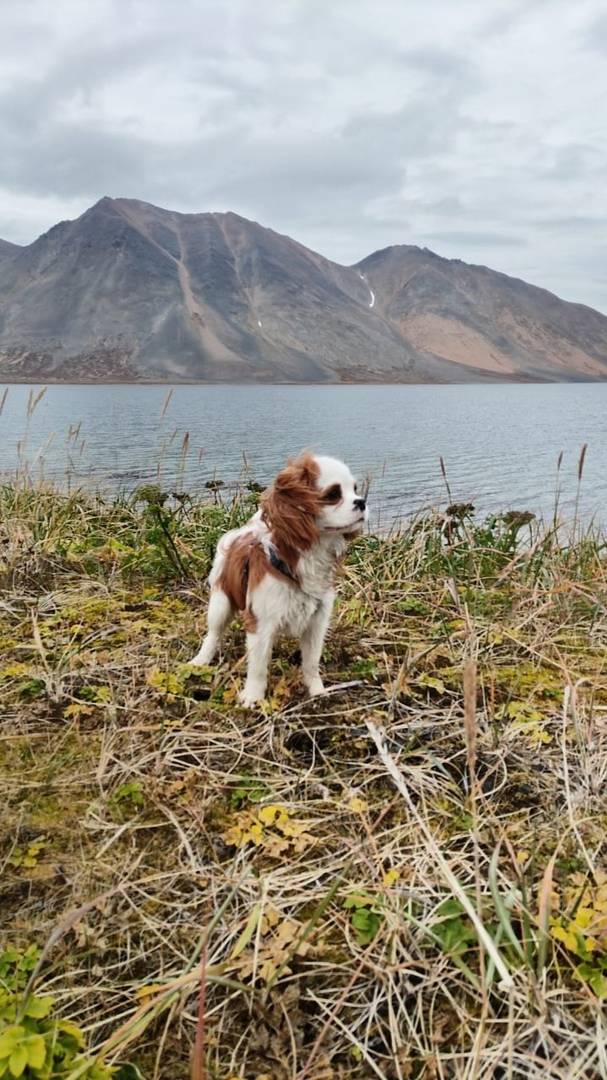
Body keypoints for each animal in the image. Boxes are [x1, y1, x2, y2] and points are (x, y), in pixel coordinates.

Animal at [189, 451, 367, 704]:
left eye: (355, 489)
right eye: (333, 495)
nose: (362, 501)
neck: (307, 557)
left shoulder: (317, 622)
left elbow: (311, 663)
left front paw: (317, 692)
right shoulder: (260, 623)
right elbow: (258, 667)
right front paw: (252, 697)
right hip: (220, 602)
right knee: (213, 634)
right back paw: (201, 660)